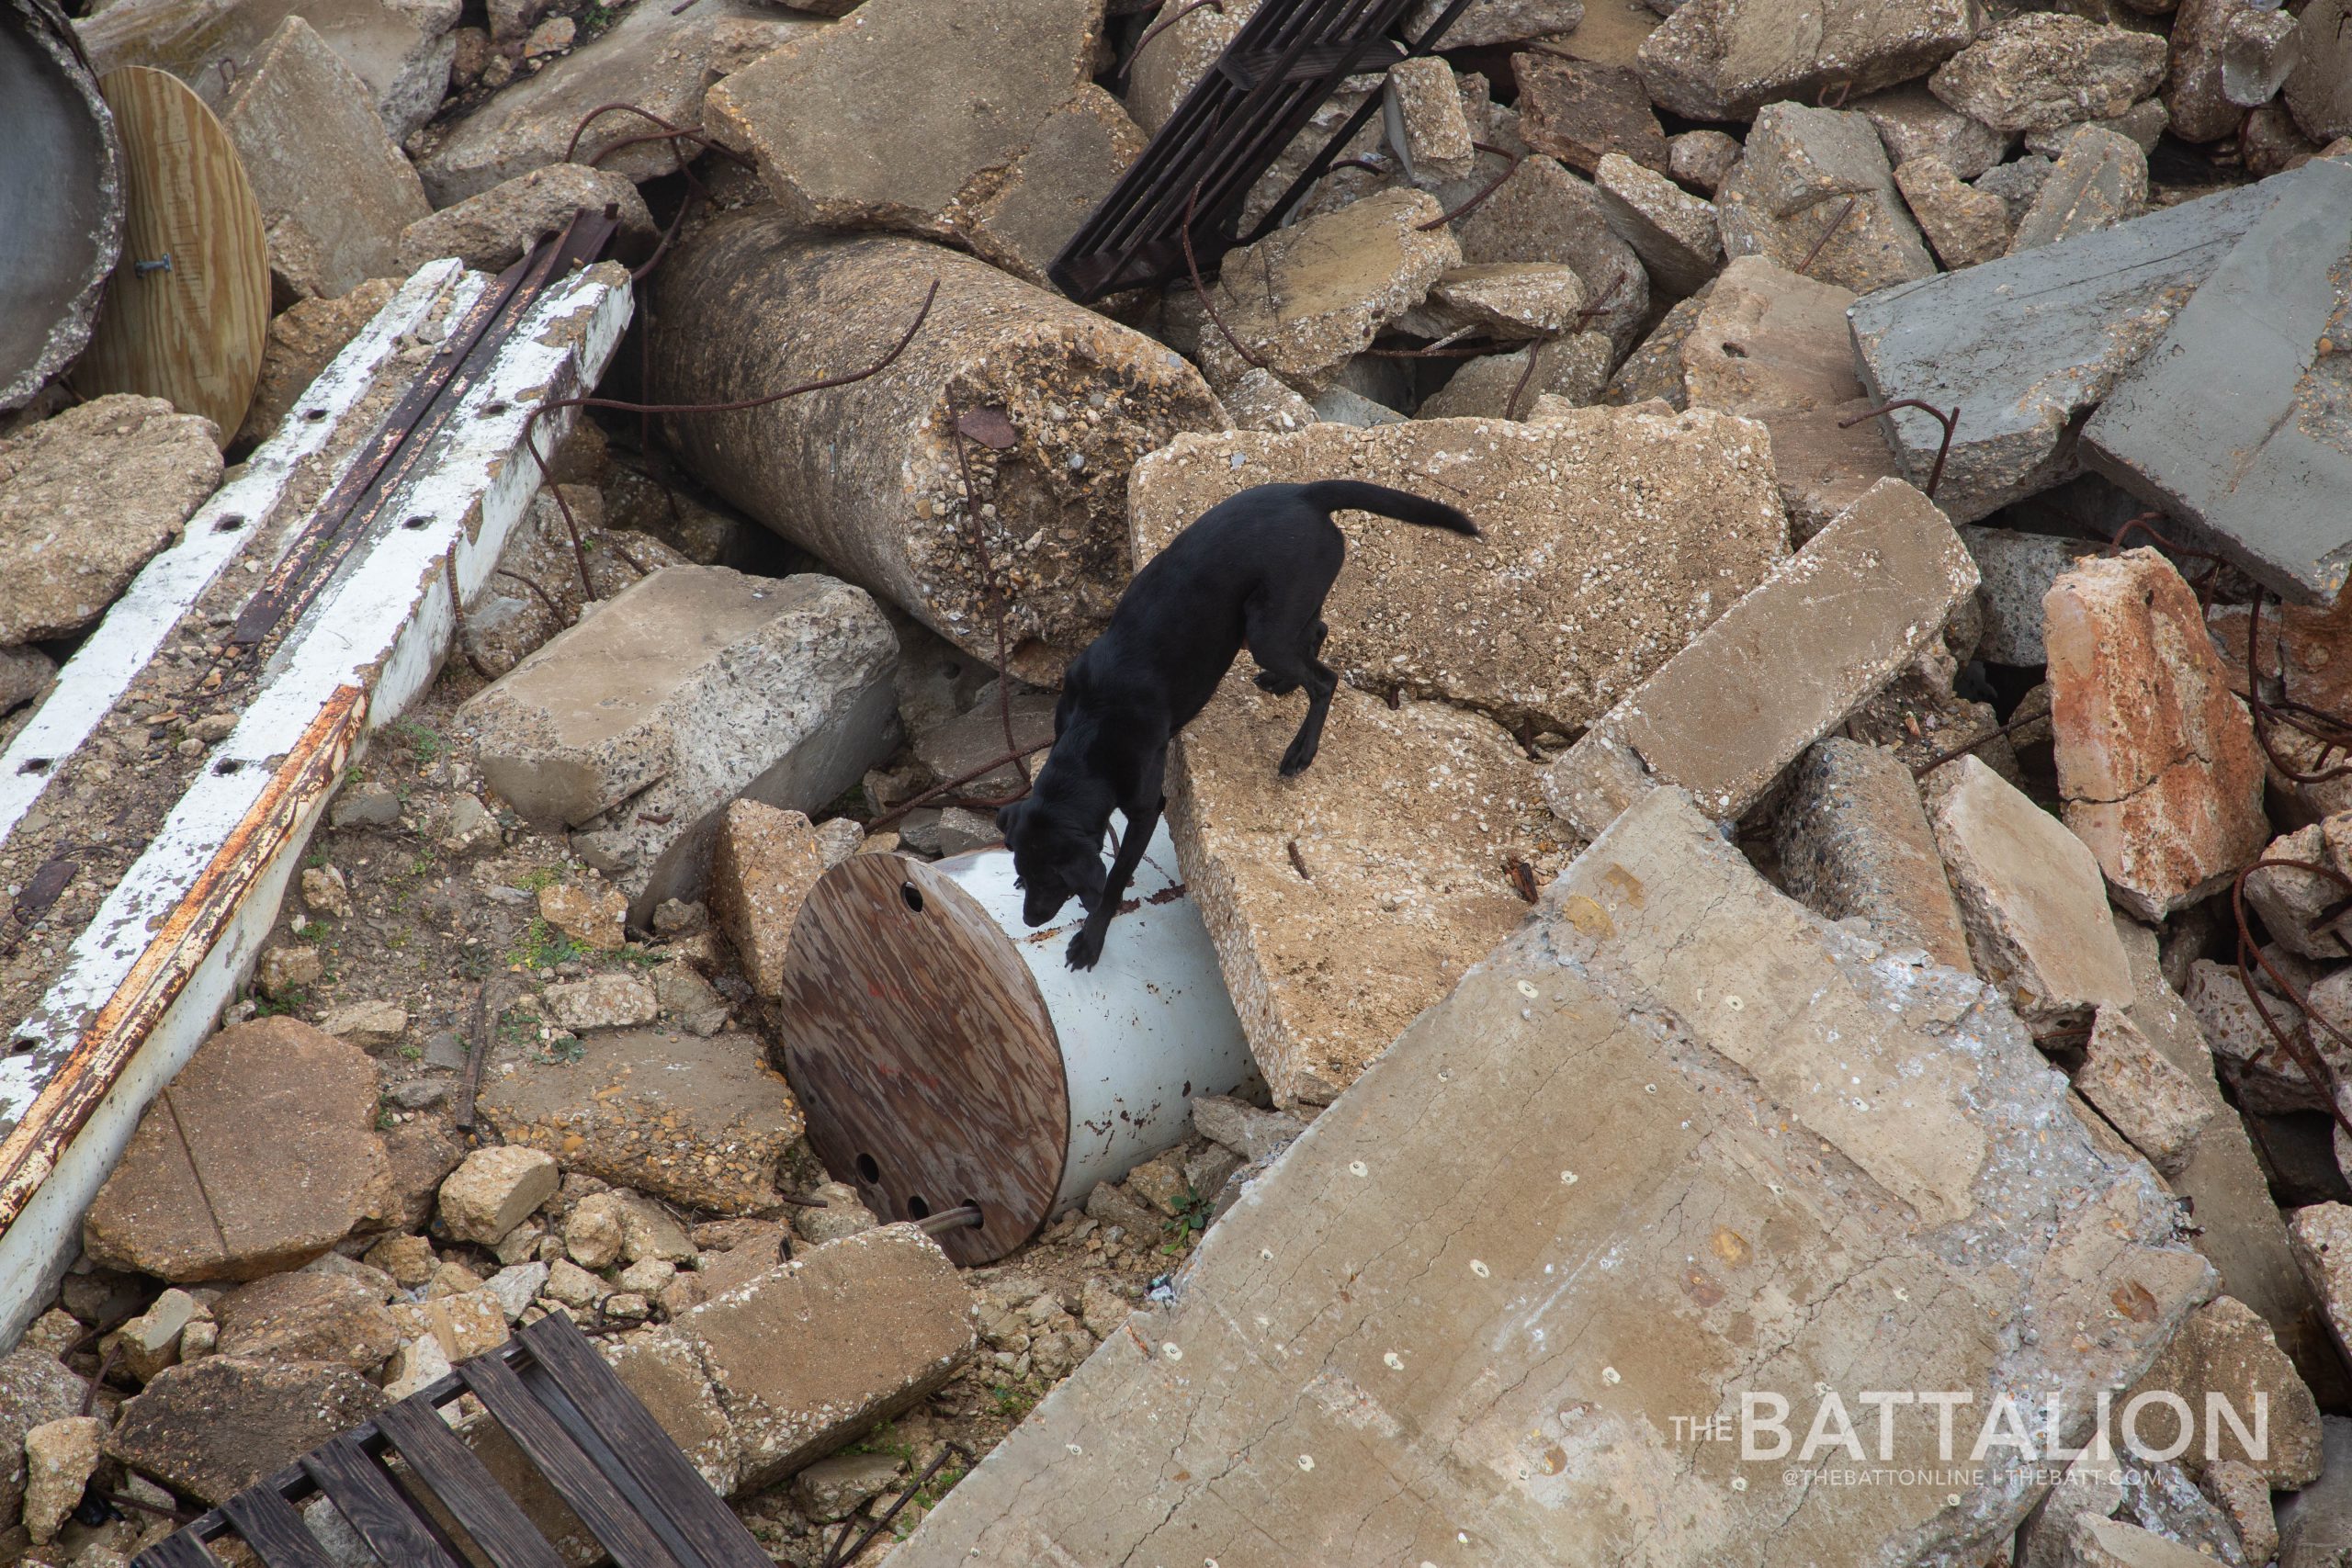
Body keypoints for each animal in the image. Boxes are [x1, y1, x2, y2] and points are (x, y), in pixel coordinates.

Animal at [1001, 479, 1476, 968]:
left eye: (1054, 879)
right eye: (1024, 870)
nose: (1030, 921)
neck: (1093, 729)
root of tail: (1306, 492)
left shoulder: (1147, 809)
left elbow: (1114, 880)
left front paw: (1091, 939)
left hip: (1268, 629)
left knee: (1325, 679)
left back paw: (1300, 751)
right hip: (1270, 622)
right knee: (1317, 633)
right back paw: (1283, 683)